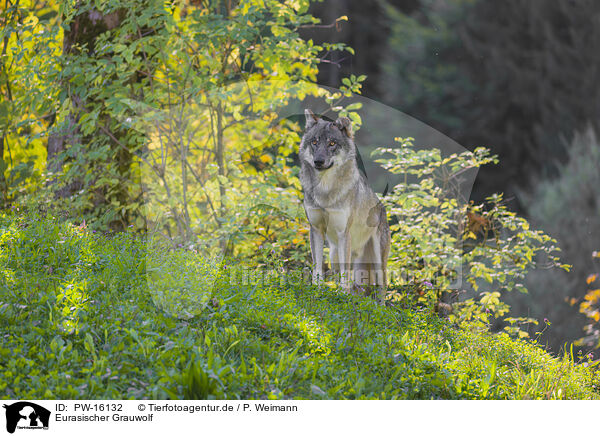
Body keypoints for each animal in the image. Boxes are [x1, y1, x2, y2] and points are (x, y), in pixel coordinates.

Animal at [298, 109, 392, 304]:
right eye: (314, 142)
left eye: (332, 143)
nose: (318, 161)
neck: (325, 190)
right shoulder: (315, 230)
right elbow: (317, 269)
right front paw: (317, 292)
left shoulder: (343, 233)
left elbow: (344, 275)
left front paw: (342, 296)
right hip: (335, 255)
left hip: (378, 261)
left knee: (382, 286)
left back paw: (379, 308)